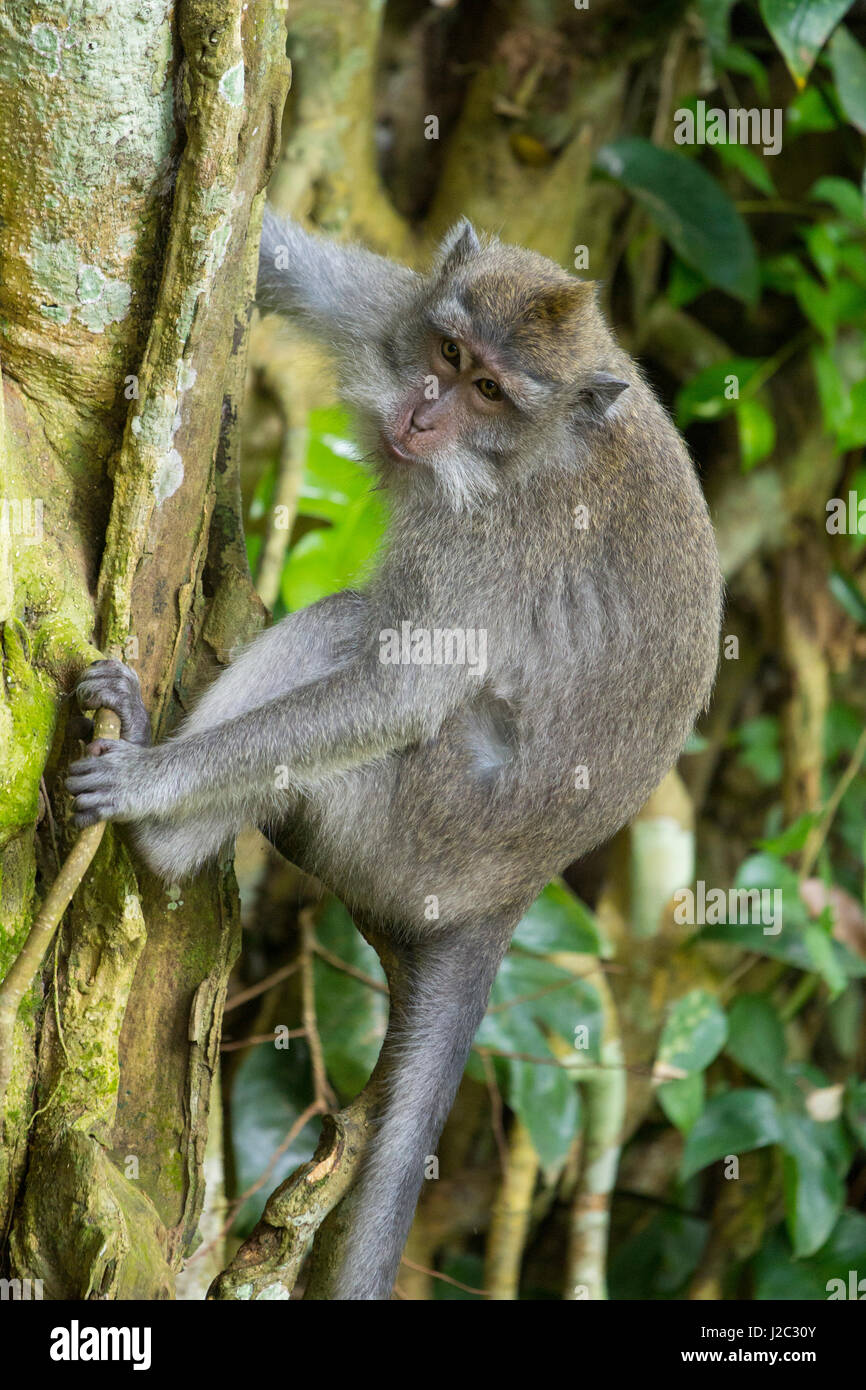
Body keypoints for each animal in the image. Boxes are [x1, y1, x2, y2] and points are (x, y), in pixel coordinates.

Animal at [64, 208, 722, 1301]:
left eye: (490, 393)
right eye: (449, 354)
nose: (421, 413)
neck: (526, 456)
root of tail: (510, 898)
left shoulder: (492, 541)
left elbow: (401, 689)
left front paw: (149, 783)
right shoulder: (396, 310)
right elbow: (285, 264)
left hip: (400, 831)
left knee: (347, 632)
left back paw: (160, 826)